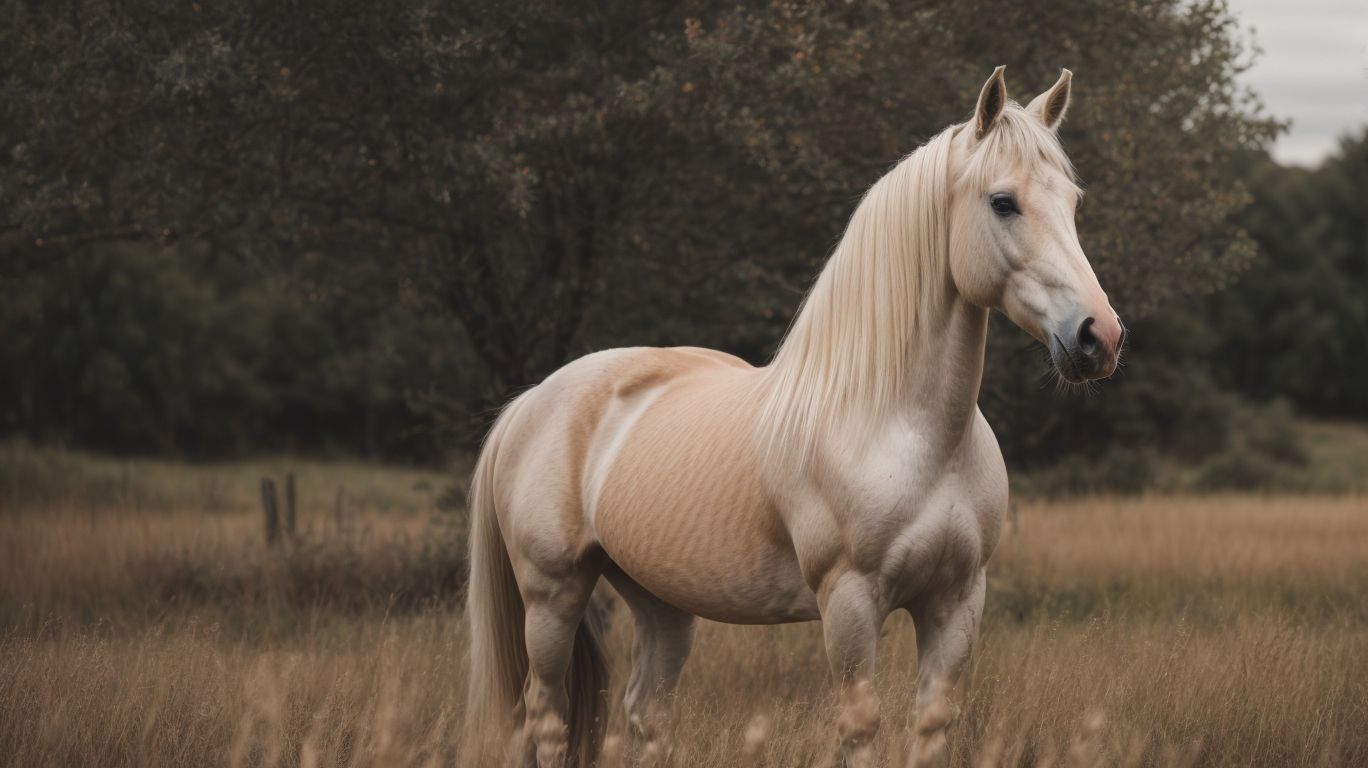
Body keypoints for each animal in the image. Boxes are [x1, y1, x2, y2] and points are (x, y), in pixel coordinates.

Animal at [462, 66, 1124, 768]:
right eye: (1003, 202)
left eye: (1073, 202)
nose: (1098, 337)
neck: (904, 429)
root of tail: (533, 400)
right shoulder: (850, 604)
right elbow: (860, 727)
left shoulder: (957, 601)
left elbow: (932, 725)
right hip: (552, 596)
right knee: (546, 716)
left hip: (659, 601)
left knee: (645, 711)